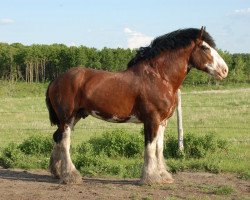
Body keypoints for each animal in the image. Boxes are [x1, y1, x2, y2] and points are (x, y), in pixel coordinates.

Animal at [45, 26, 229, 184]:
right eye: (205, 47)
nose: (225, 70)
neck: (159, 77)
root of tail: (56, 80)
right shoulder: (152, 120)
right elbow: (150, 147)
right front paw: (150, 178)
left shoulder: (162, 122)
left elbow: (159, 147)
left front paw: (163, 175)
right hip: (67, 117)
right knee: (65, 140)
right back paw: (71, 176)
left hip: (75, 116)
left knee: (58, 138)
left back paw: (58, 172)